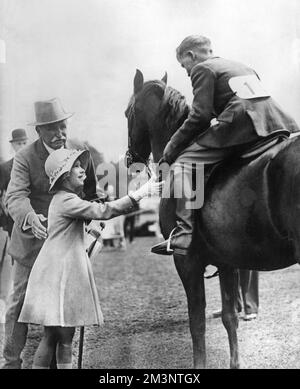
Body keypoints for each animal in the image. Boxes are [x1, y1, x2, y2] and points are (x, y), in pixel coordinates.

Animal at [125, 69, 300, 366]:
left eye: (128, 112)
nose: (129, 158)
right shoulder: (226, 262)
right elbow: (230, 318)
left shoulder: (187, 261)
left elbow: (196, 323)